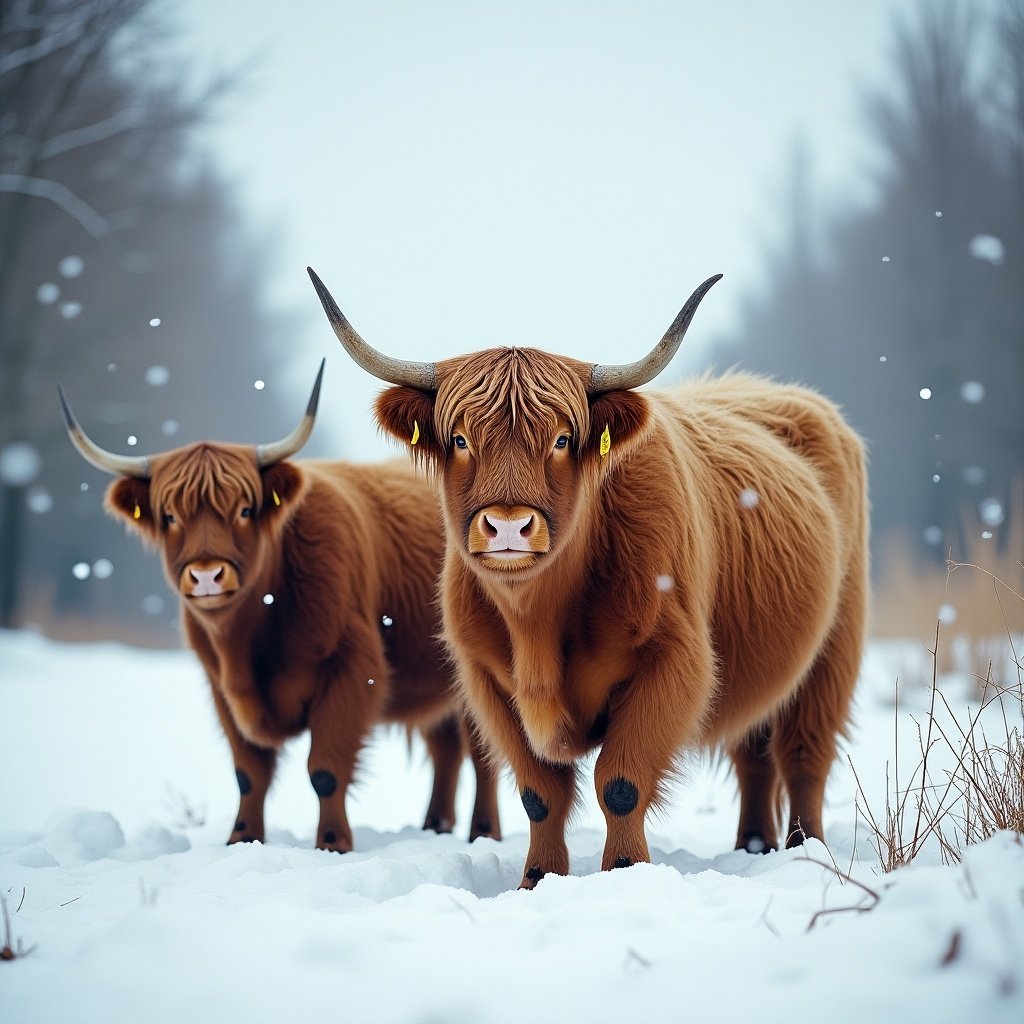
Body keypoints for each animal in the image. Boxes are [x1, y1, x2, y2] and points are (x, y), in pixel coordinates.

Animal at [59, 364, 499, 851]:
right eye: (170, 516)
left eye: (245, 510)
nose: (207, 575)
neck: (249, 641)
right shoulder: (222, 690)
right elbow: (248, 774)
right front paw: (242, 839)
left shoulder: (352, 670)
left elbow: (325, 769)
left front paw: (332, 843)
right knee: (446, 748)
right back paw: (435, 825)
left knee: (481, 754)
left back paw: (483, 833)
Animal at [307, 270, 868, 888]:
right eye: (458, 439)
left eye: (560, 439)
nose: (508, 525)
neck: (538, 623)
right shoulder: (488, 681)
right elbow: (540, 795)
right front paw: (536, 880)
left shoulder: (673, 661)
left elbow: (621, 782)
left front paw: (625, 871)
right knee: (755, 753)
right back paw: (755, 845)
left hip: (834, 650)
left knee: (803, 753)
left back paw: (804, 851)